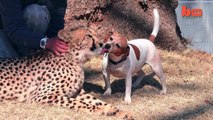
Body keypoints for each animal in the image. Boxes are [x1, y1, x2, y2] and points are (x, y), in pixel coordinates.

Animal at [0, 26, 133, 119]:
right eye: (89, 36)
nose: (102, 44)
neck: (75, 60)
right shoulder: (39, 96)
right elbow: (76, 102)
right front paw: (101, 110)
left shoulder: (79, 92)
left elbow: (99, 101)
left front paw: (119, 111)